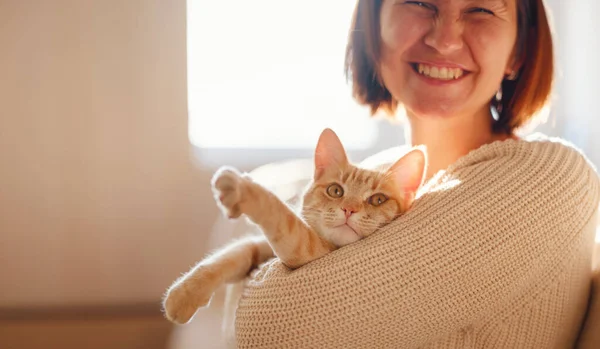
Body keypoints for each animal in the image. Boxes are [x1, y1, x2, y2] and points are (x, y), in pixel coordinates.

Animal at [164, 128, 426, 324]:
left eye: (378, 199)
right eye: (335, 191)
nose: (349, 210)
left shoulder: (306, 249)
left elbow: (278, 212)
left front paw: (242, 188)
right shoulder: (261, 246)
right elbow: (231, 254)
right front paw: (184, 295)